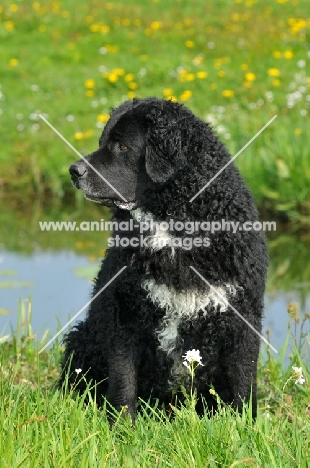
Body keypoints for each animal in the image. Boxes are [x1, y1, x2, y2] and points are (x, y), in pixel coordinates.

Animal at [58, 98, 268, 420]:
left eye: (122, 146)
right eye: (102, 142)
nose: (73, 170)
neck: (173, 227)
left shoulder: (242, 317)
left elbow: (243, 384)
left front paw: (246, 425)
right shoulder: (124, 312)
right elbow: (123, 382)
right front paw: (122, 426)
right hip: (84, 338)